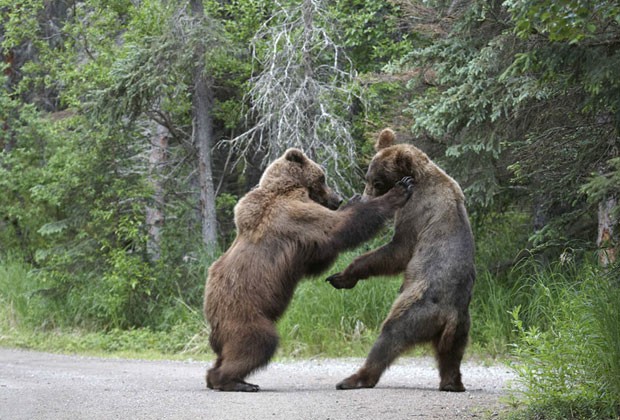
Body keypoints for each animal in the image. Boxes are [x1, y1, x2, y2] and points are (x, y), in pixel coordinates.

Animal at [206, 147, 414, 390]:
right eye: (322, 177)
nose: (338, 198)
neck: (286, 188)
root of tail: (211, 319)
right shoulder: (295, 218)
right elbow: (338, 227)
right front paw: (400, 189)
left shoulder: (301, 243)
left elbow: (317, 259)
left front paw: (353, 200)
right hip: (245, 313)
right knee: (257, 342)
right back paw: (234, 381)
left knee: (228, 354)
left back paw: (222, 377)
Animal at [326, 130, 478, 392]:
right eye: (368, 178)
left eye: (377, 182)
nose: (363, 200)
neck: (421, 177)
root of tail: (449, 315)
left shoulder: (416, 210)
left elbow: (399, 250)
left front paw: (342, 276)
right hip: (462, 328)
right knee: (451, 355)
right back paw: (452, 383)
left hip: (416, 309)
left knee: (390, 336)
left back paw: (353, 379)